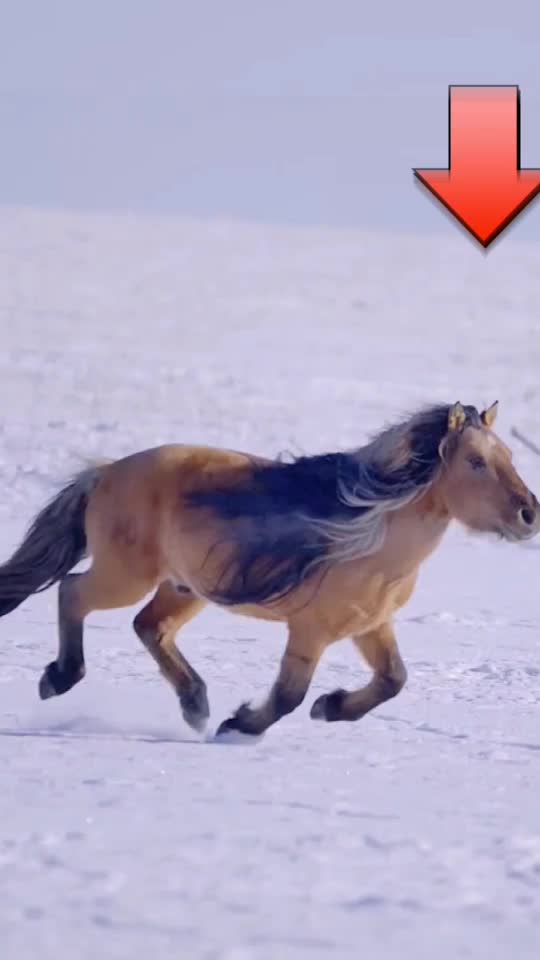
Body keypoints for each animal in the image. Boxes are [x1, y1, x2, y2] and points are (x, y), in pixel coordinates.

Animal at [0, 400, 538, 739]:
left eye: (509, 456)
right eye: (475, 462)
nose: (529, 514)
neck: (372, 536)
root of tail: (106, 471)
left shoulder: (372, 625)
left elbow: (394, 679)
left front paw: (330, 707)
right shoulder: (310, 631)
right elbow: (289, 696)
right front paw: (239, 726)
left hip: (185, 586)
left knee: (149, 626)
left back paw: (195, 704)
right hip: (126, 576)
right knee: (73, 593)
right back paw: (60, 678)